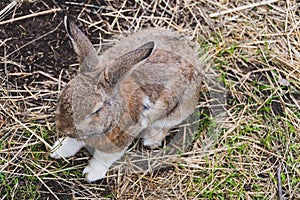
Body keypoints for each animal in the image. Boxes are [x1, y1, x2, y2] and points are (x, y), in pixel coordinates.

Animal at [50, 16, 202, 183]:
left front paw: (91, 175)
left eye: (96, 110)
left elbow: (104, 157)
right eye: (63, 93)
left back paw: (150, 140)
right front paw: (57, 151)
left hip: (177, 111)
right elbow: (73, 142)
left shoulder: (121, 139)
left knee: (165, 125)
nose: (63, 128)